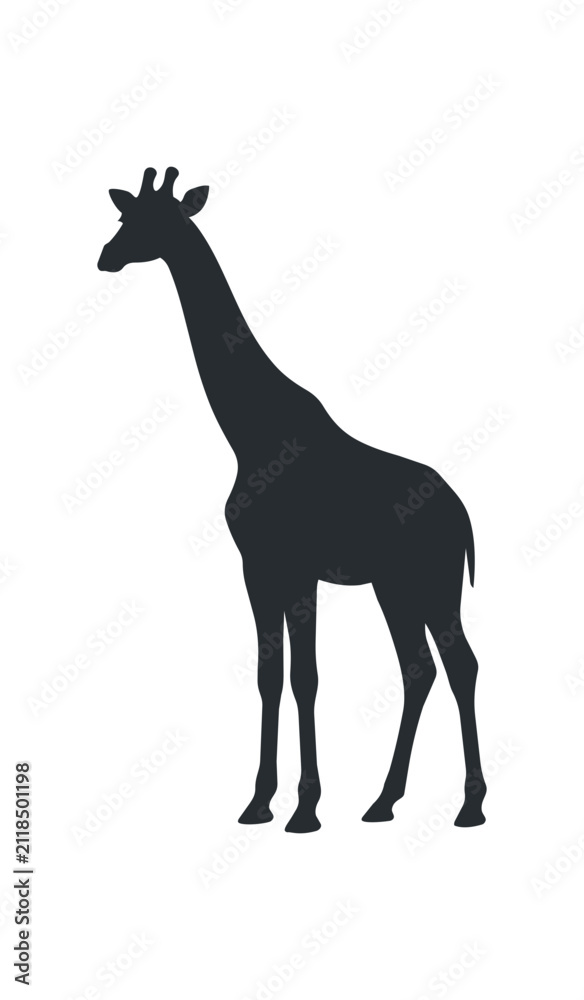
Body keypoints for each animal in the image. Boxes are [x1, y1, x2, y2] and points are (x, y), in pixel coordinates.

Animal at [98, 167, 487, 833]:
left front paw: (305, 808)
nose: (105, 256)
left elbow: (305, 677)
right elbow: (269, 676)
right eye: (126, 217)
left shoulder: (299, 568)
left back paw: (469, 806)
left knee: (459, 666)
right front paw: (259, 802)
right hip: (396, 585)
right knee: (421, 668)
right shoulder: (258, 568)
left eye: (155, 221)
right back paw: (384, 801)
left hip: (431, 580)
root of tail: (461, 514)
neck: (251, 435)